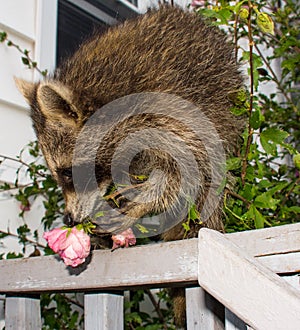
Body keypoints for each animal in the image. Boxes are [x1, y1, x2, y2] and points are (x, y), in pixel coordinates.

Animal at [15, 5, 241, 328]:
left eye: (68, 173)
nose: (69, 219)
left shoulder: (175, 108)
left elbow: (187, 172)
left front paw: (144, 201)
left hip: (222, 111)